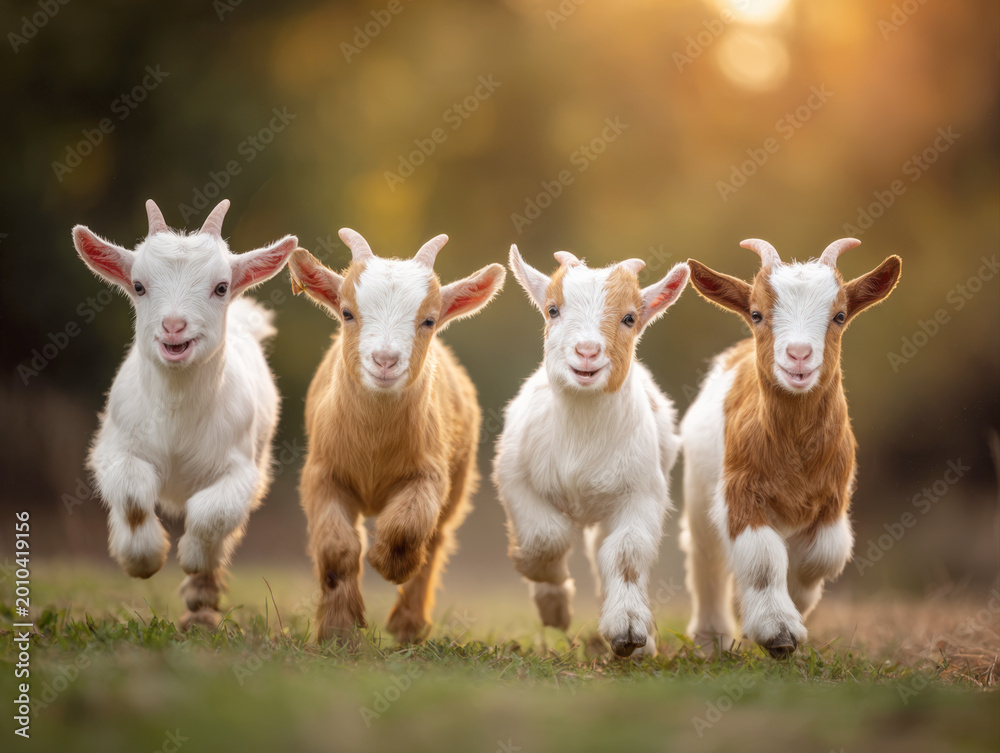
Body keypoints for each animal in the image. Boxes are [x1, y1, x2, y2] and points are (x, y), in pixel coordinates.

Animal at [72, 199, 297, 629]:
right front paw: (141, 557)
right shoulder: (114, 449)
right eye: (139, 285)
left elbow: (212, 515)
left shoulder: (244, 470)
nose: (174, 326)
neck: (176, 412)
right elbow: (132, 495)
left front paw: (194, 561)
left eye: (221, 287)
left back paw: (202, 601)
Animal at [287, 229, 505, 643]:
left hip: (459, 480)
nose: (385, 361)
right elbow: (337, 549)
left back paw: (408, 625)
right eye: (347, 312)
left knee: (437, 539)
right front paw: (338, 631)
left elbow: (409, 526)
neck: (375, 441)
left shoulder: (430, 473)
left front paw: (390, 565)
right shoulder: (322, 474)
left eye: (429, 320)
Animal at [493, 246, 690, 657]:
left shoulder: (642, 491)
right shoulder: (514, 476)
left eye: (629, 318)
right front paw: (553, 601)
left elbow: (626, 553)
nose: (587, 351)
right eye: (553, 309)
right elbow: (544, 536)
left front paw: (629, 632)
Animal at [681, 238, 901, 657]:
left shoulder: (832, 500)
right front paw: (778, 632)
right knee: (706, 558)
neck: (794, 447)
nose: (798, 356)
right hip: (699, 490)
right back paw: (711, 638)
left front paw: (795, 606)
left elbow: (820, 556)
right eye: (756, 313)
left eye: (839, 315)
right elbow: (764, 560)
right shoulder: (741, 491)